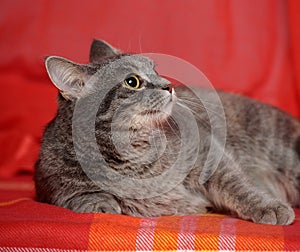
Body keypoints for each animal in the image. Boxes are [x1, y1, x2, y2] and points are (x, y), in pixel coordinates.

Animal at [34, 39, 300, 224]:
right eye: (132, 81)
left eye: (155, 70)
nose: (169, 85)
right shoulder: (51, 184)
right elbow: (84, 197)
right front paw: (101, 203)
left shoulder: (206, 149)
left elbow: (236, 185)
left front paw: (268, 207)